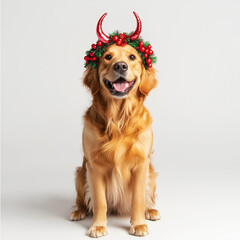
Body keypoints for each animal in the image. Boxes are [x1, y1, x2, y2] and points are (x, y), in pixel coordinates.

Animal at [70, 42, 160, 236]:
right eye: (108, 57)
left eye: (132, 57)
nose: (120, 66)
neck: (119, 120)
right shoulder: (94, 166)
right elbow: (99, 201)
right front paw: (98, 226)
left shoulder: (141, 165)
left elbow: (138, 199)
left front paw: (138, 224)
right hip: (80, 173)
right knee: (82, 200)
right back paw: (78, 211)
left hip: (152, 173)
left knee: (148, 198)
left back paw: (151, 210)